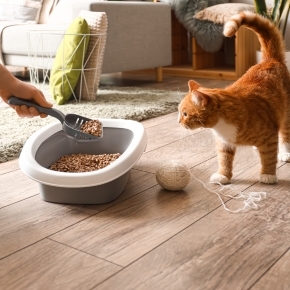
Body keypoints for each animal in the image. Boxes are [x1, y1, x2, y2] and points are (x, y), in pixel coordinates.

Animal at [178, 11, 290, 184]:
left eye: (185, 114)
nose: (178, 122)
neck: (221, 125)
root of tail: (270, 60)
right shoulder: (224, 143)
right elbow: (224, 160)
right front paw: (223, 175)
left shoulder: (270, 137)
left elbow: (269, 157)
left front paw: (268, 174)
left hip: (286, 114)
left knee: (284, 135)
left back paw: (284, 152)